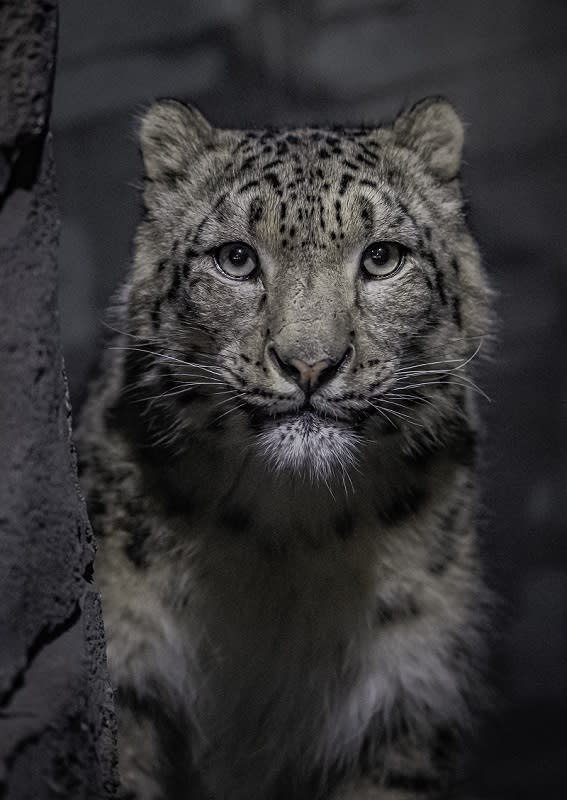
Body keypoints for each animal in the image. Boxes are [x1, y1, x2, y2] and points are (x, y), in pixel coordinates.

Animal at [75, 95, 492, 800]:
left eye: (382, 257)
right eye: (237, 258)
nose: (310, 364)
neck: (292, 539)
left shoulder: (405, 698)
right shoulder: (129, 680)